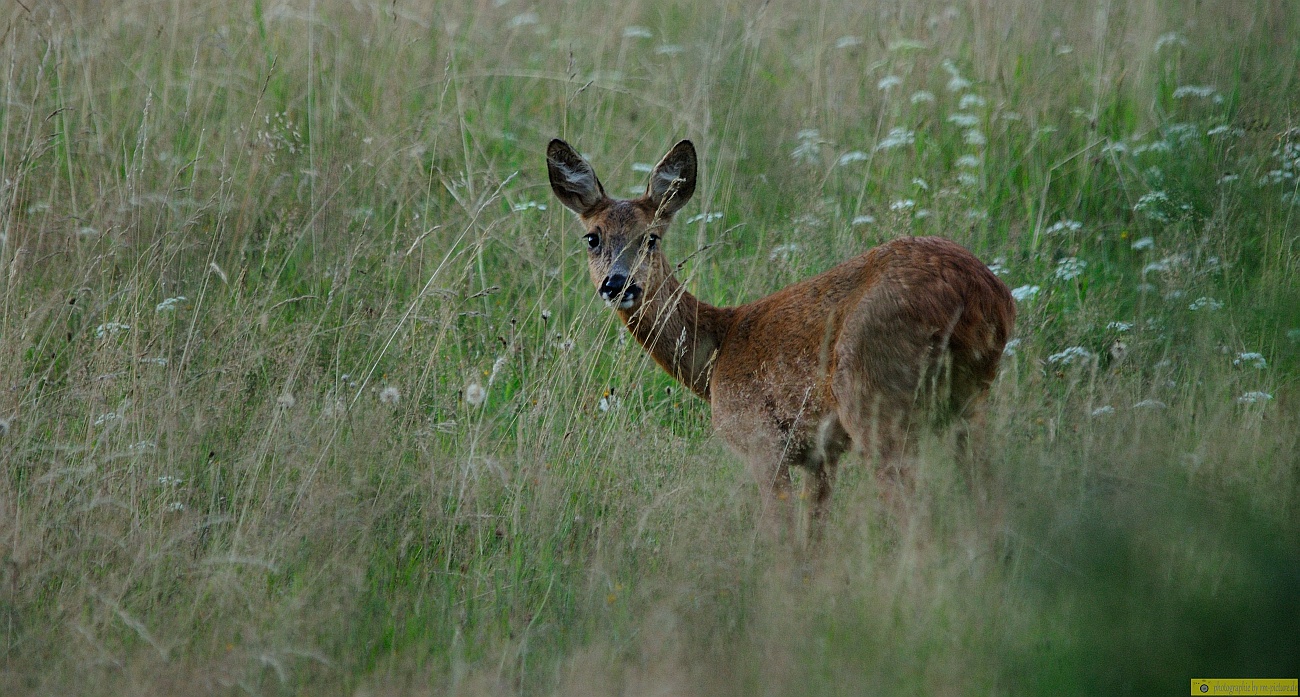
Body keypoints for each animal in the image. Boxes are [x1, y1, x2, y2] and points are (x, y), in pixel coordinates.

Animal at [546, 140, 1013, 543]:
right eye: (593, 237)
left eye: (651, 237)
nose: (617, 284)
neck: (716, 354)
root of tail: (981, 294)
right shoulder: (821, 454)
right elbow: (814, 539)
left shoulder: (762, 440)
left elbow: (784, 539)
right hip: (971, 400)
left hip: (875, 396)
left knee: (916, 513)